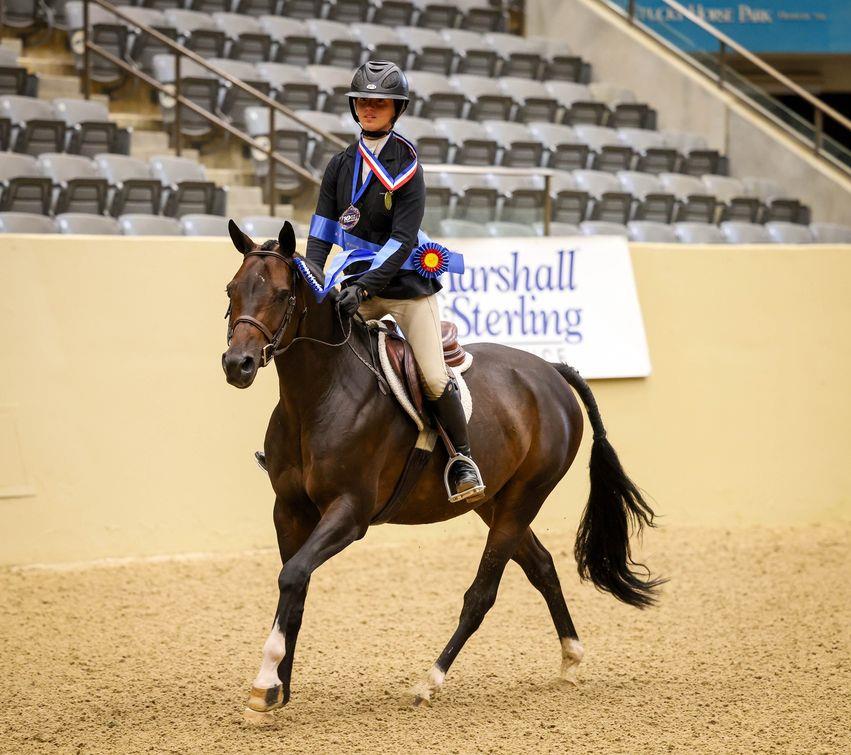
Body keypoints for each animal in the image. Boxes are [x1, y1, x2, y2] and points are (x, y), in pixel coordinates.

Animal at [221, 219, 664, 715]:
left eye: (281, 294)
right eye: (232, 290)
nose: (237, 364)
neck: (318, 395)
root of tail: (549, 369)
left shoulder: (350, 513)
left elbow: (294, 575)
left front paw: (265, 683)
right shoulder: (289, 509)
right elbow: (294, 587)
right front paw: (280, 688)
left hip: (524, 497)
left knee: (482, 593)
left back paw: (430, 681)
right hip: (494, 502)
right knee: (543, 566)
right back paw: (570, 657)